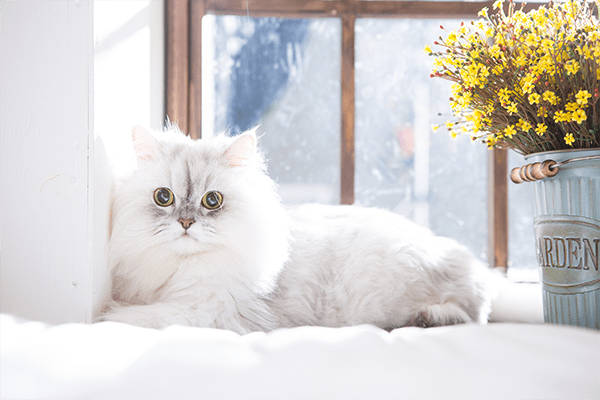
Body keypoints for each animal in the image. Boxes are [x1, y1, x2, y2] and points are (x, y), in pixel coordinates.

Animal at [99, 126, 492, 332]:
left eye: (212, 201)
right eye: (163, 198)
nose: (184, 223)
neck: (179, 268)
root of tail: (474, 268)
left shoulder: (209, 313)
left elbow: (129, 316)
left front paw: (105, 314)